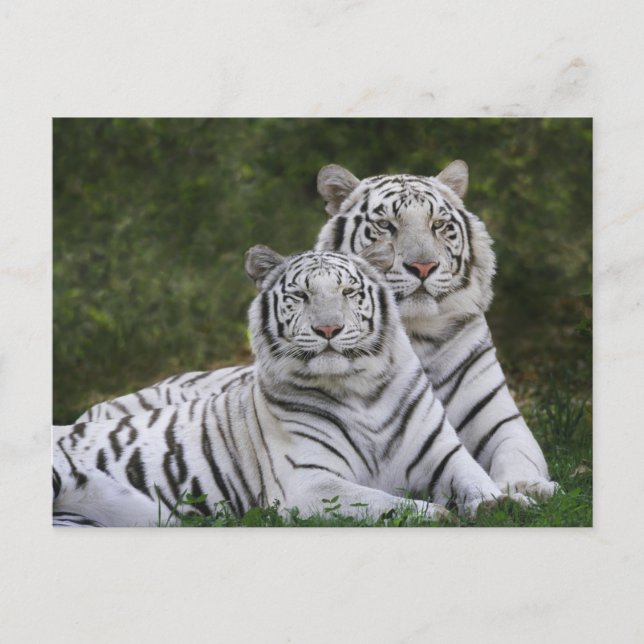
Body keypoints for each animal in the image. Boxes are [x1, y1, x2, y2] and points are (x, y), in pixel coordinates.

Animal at [54, 246, 526, 527]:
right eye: (300, 296)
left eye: (349, 292)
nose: (328, 329)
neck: (362, 391)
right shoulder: (309, 483)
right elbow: (382, 503)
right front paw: (441, 514)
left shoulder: (445, 454)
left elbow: (477, 479)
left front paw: (505, 502)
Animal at [76, 160, 556, 500]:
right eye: (386, 225)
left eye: (439, 225)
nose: (422, 267)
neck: (415, 335)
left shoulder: (500, 421)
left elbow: (519, 456)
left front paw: (529, 489)